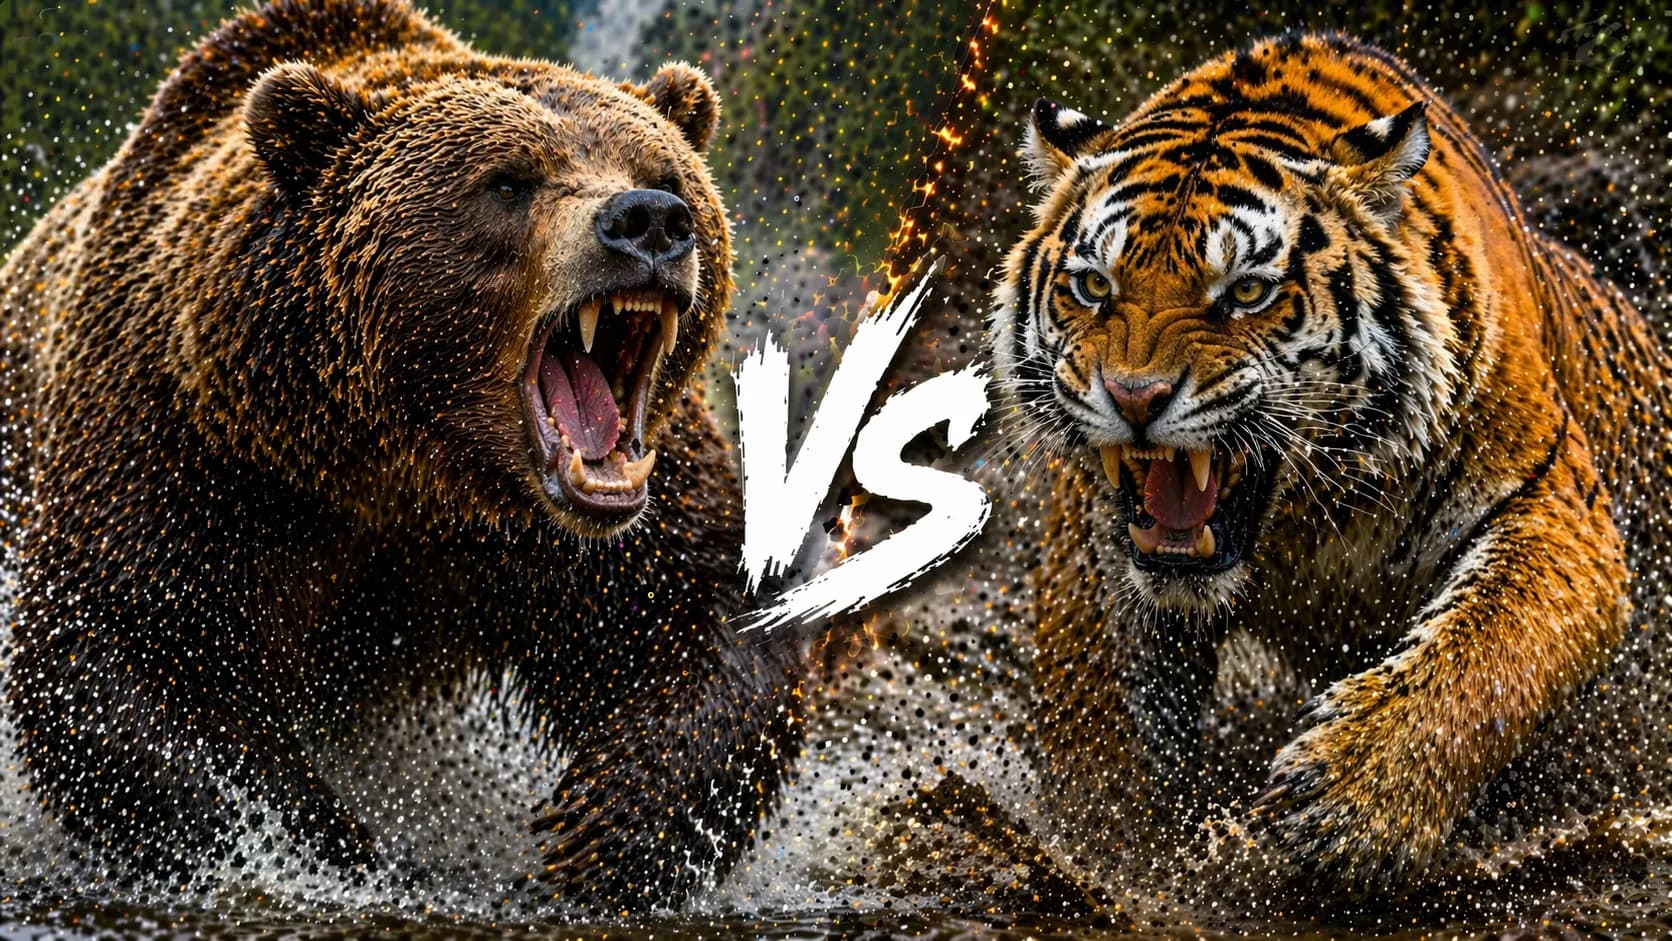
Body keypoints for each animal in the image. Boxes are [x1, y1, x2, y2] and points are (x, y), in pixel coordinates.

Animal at [0, 0, 802, 911]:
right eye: (508, 181)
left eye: (665, 168)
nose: (650, 220)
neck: (402, 464)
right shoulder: (187, 438)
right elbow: (124, 646)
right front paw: (321, 845)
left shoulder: (610, 519)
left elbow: (701, 610)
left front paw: (605, 828)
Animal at [990, 32, 1672, 891]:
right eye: (1091, 285)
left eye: (1246, 292)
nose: (1133, 395)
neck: (1305, 524)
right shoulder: (1100, 546)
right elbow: (1102, 719)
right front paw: (1111, 851)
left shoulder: (1551, 503)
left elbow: (1489, 649)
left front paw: (1346, 801)